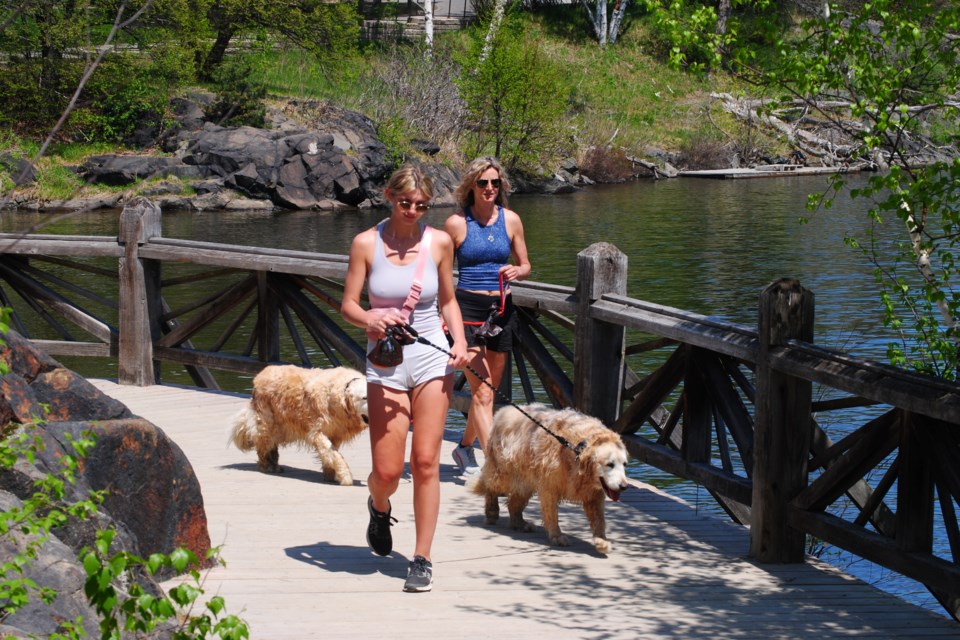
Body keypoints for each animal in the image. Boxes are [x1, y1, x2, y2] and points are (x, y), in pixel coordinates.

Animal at [229, 364, 372, 484]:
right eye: (365, 397)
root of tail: (260, 375)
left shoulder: (335, 433)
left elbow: (330, 453)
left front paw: (329, 473)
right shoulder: (317, 431)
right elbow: (334, 454)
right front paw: (345, 476)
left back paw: (274, 464)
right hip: (268, 424)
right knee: (263, 445)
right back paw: (266, 466)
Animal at [470, 404, 632, 556]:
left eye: (624, 464)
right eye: (610, 464)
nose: (624, 486)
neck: (576, 449)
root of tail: (503, 410)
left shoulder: (594, 493)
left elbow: (599, 518)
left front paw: (602, 541)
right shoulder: (550, 484)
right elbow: (551, 512)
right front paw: (557, 536)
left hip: (525, 477)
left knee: (515, 501)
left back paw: (520, 523)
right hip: (504, 469)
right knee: (491, 486)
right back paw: (492, 510)